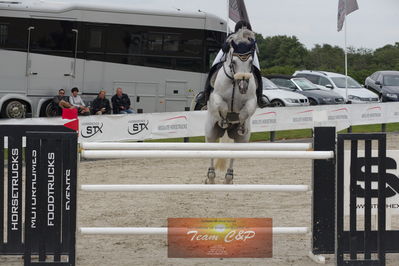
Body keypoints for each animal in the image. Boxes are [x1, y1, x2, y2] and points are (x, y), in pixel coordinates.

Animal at [206, 28, 260, 184]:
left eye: (250, 62)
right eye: (234, 62)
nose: (243, 86)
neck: (234, 83)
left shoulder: (252, 101)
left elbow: (245, 112)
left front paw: (240, 124)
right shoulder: (216, 96)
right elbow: (222, 106)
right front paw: (225, 120)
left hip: (242, 140)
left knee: (234, 151)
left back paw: (228, 178)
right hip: (211, 131)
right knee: (210, 148)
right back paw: (210, 177)